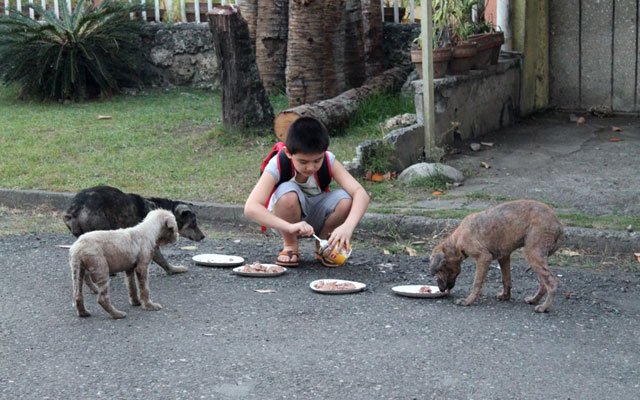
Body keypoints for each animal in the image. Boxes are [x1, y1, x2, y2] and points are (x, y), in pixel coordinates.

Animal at [61, 185, 204, 276]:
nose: (203, 237)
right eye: (194, 223)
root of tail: (75, 209)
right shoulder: (150, 244)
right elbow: (162, 260)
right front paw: (174, 269)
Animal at [430, 200, 560, 312]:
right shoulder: (504, 257)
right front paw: (505, 296)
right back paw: (534, 300)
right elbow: (506, 279)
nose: (441, 289)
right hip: (536, 257)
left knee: (552, 283)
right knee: (543, 283)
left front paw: (468, 301)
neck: (456, 242)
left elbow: (477, 283)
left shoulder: (483, 258)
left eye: (438, 271)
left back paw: (544, 307)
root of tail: (558, 223)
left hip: (533, 253)